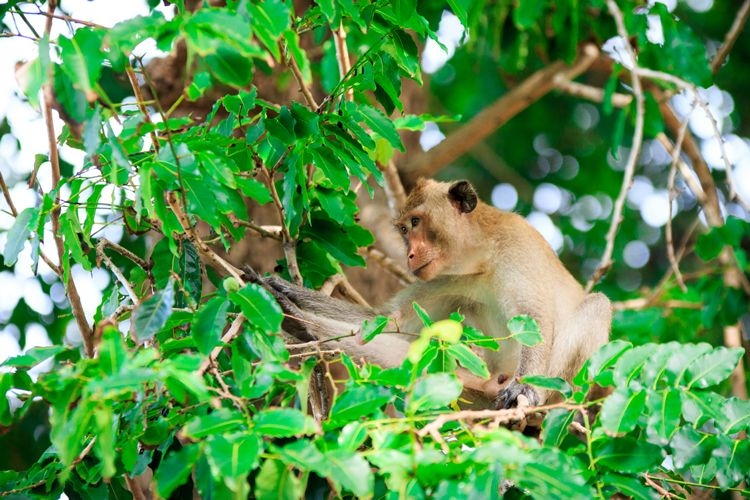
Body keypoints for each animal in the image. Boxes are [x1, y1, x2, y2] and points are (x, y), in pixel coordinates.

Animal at [257, 179, 611, 409]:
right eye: (404, 229)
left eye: (416, 221)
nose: (410, 255)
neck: (482, 258)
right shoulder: (447, 278)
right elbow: (385, 322)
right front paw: (283, 290)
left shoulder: (516, 249)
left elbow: (534, 319)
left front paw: (526, 388)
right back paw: (300, 323)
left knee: (598, 305)